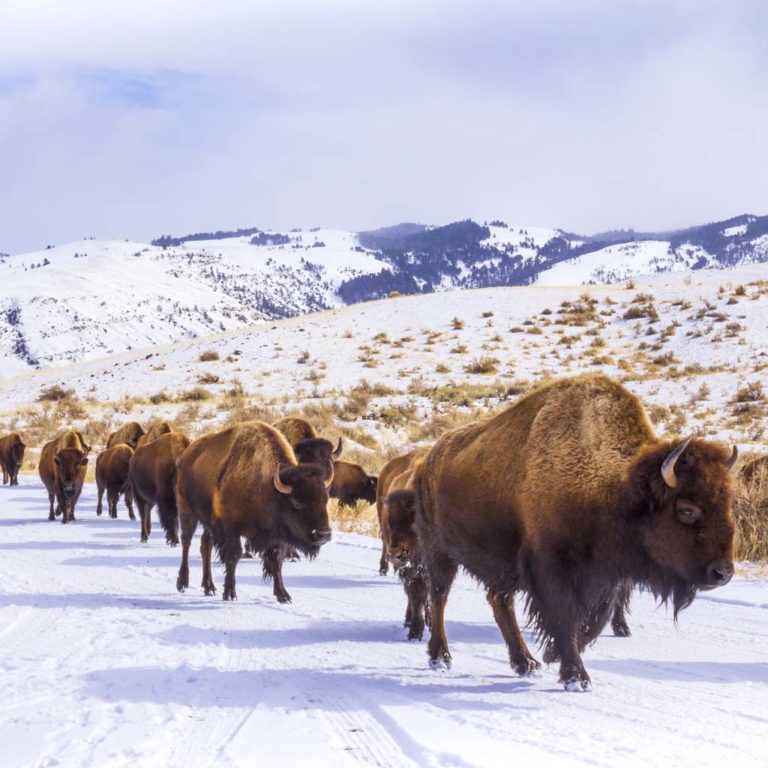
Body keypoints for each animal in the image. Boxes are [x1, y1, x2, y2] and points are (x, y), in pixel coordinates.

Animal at [177, 424, 332, 604]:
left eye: (325, 499)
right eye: (297, 502)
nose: (324, 534)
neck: (268, 488)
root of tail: (186, 455)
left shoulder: (277, 536)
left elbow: (276, 560)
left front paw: (283, 595)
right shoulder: (231, 530)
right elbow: (233, 557)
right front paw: (230, 593)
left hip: (208, 522)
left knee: (205, 545)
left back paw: (209, 587)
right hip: (187, 512)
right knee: (186, 542)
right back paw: (182, 583)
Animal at [414, 376, 736, 692]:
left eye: (728, 503)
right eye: (687, 510)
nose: (723, 573)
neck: (614, 487)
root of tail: (427, 461)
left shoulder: (605, 577)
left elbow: (595, 621)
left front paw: (553, 655)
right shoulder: (551, 568)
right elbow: (565, 618)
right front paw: (576, 677)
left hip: (501, 566)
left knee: (498, 601)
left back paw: (525, 662)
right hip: (439, 552)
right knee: (439, 596)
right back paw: (441, 657)